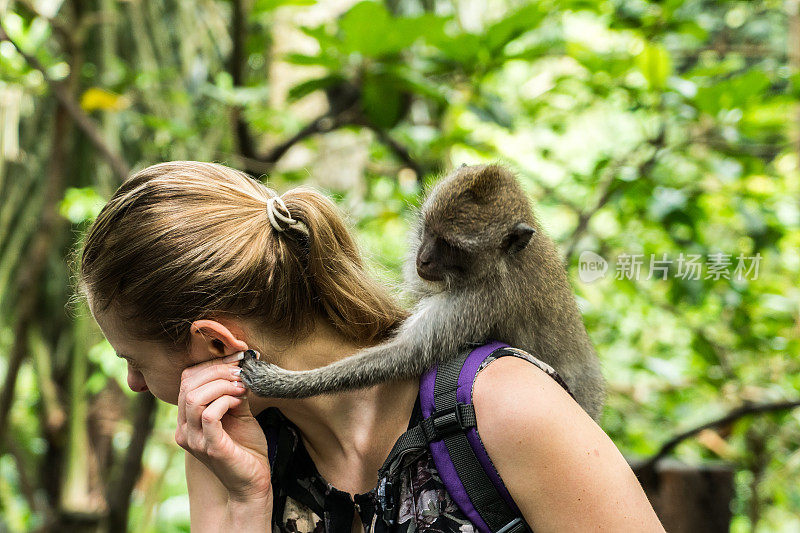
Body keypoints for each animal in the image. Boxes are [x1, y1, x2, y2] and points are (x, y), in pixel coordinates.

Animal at [241, 162, 604, 420]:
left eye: (452, 246)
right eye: (429, 228)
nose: (424, 257)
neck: (501, 261)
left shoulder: (482, 298)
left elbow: (408, 354)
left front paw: (282, 385)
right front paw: (302, 237)